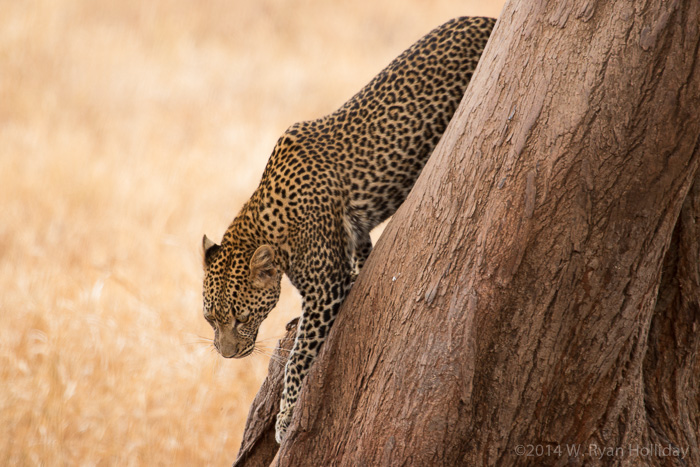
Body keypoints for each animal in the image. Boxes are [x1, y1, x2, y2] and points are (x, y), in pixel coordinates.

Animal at [201, 16, 495, 444]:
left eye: (240, 318)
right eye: (210, 319)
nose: (226, 354)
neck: (268, 220)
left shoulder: (325, 288)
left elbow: (299, 355)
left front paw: (285, 417)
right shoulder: (353, 239)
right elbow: (361, 257)